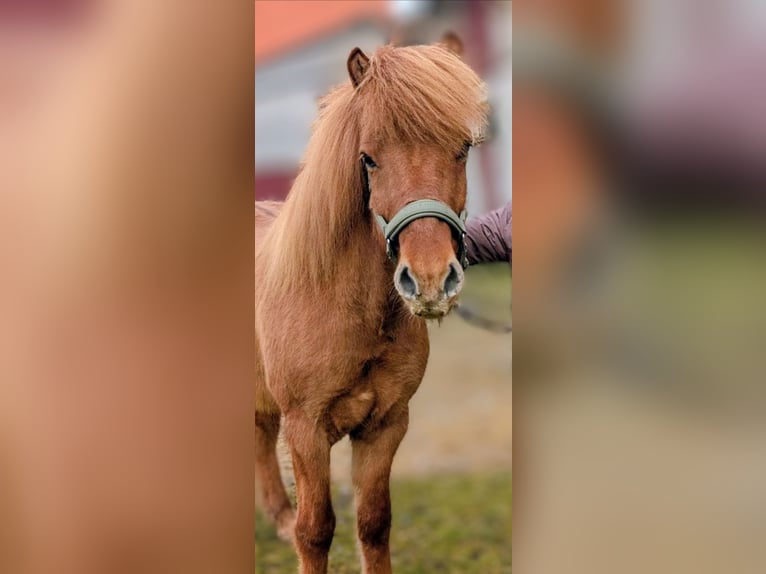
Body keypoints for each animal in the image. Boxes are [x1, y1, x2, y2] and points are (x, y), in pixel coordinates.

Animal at [255, 33, 488, 574]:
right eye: (368, 159)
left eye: (463, 149)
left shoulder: (386, 424)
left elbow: (374, 523)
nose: (429, 279)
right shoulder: (306, 430)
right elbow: (316, 530)